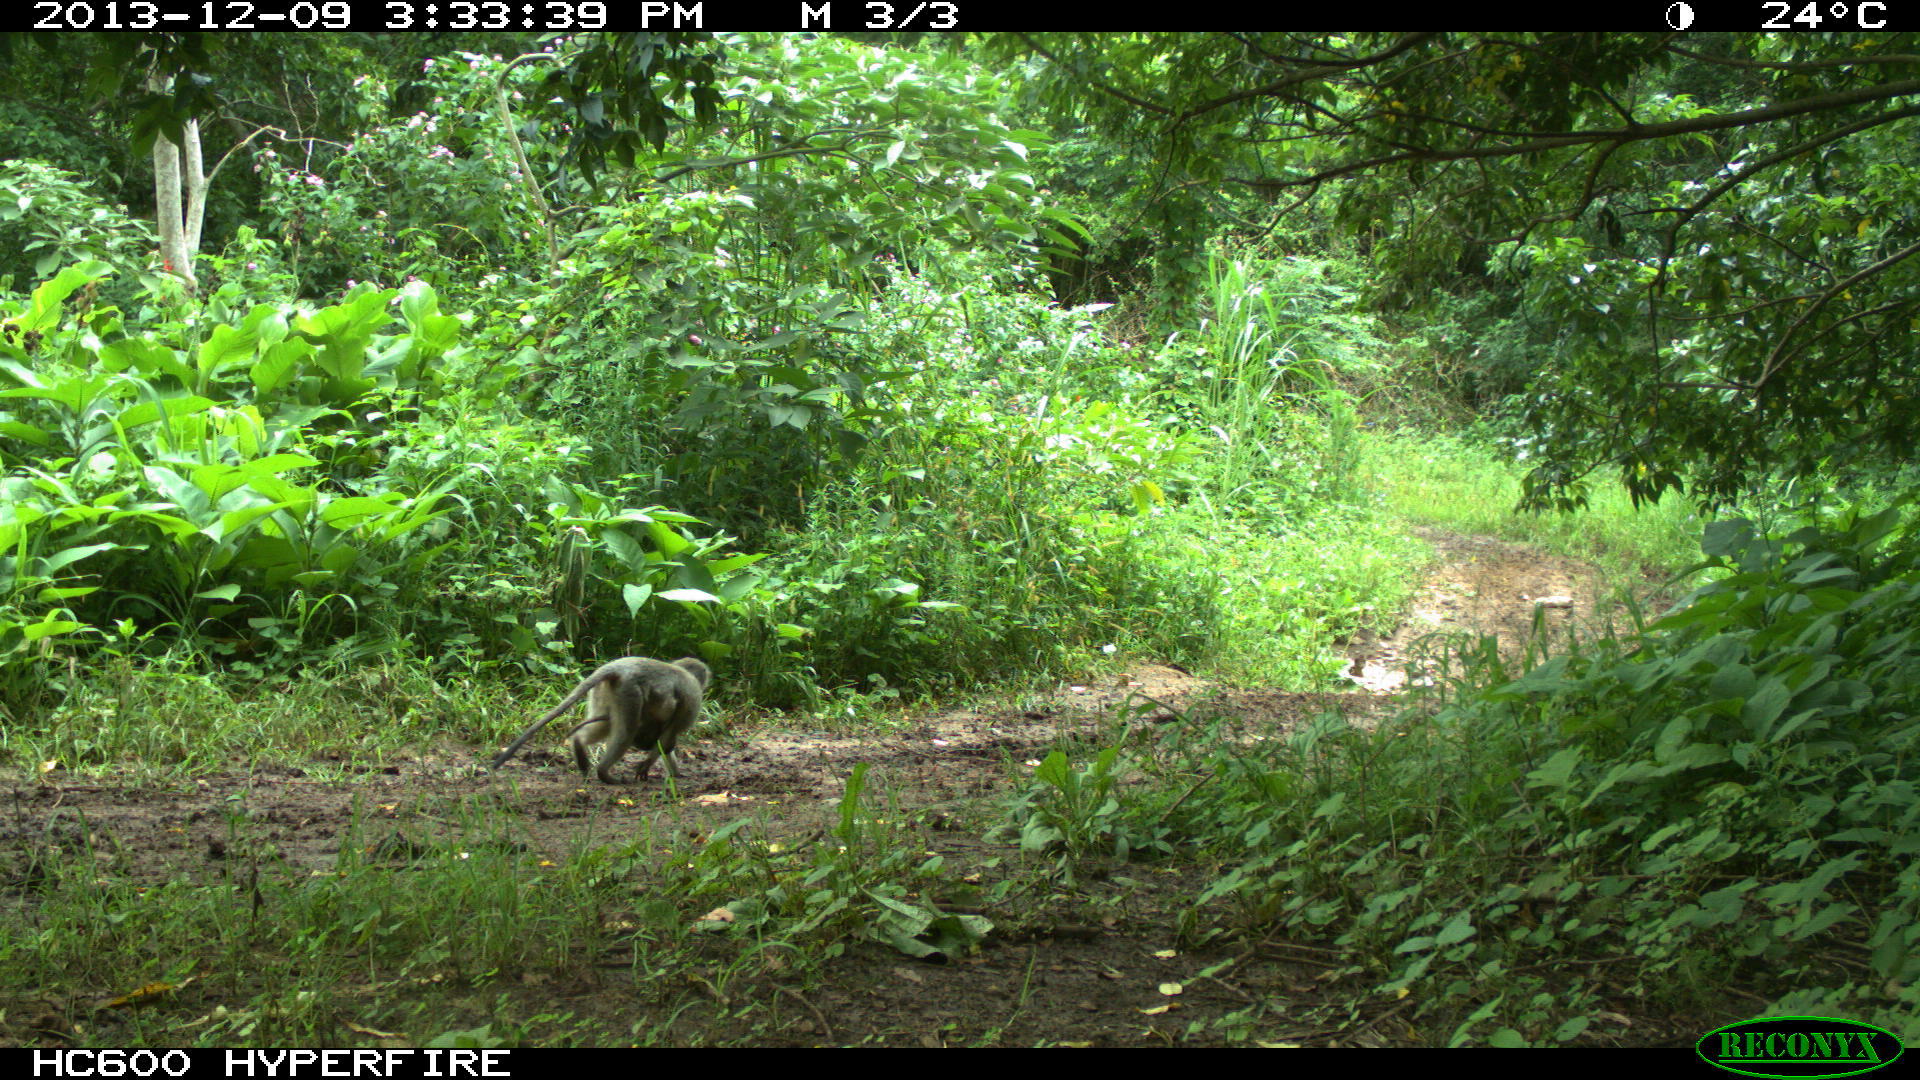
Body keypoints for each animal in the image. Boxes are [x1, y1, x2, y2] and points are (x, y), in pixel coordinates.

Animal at [487, 657, 714, 780]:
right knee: (626, 732)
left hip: (606, 690)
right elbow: (667, 740)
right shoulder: (693, 698)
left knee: (608, 723)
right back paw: (604, 773)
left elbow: (664, 740)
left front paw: (674, 774)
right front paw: (651, 766)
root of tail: (619, 667)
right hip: (629, 690)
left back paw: (579, 745)